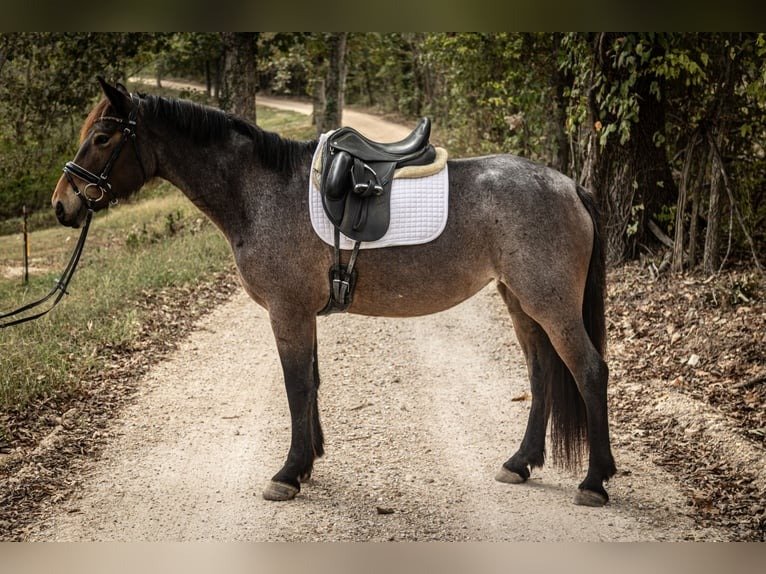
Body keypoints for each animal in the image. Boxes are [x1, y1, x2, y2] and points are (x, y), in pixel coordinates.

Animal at [52, 78, 616, 507]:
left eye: (102, 137)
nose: (62, 205)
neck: (259, 191)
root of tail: (570, 185)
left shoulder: (287, 312)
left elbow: (296, 386)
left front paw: (288, 473)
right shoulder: (303, 314)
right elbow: (312, 383)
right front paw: (307, 464)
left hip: (550, 304)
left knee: (589, 371)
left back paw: (594, 481)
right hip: (520, 302)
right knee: (542, 373)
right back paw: (520, 463)